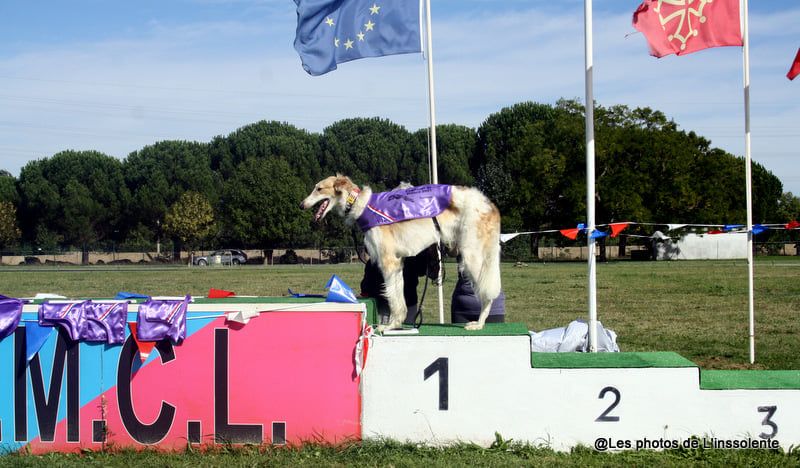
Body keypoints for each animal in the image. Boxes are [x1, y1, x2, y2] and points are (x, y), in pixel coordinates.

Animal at [300, 176, 500, 332]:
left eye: (319, 188)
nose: (301, 205)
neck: (362, 205)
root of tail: (489, 204)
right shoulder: (398, 263)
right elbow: (398, 297)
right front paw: (396, 324)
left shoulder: (389, 262)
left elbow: (392, 298)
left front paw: (389, 325)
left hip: (472, 257)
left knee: (488, 294)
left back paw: (479, 323)